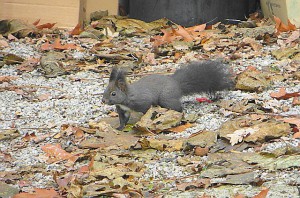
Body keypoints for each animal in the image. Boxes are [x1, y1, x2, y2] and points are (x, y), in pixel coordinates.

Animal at [102, 61, 233, 131]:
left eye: (113, 93)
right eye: (105, 90)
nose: (103, 100)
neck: (126, 98)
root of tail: (176, 84)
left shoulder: (142, 102)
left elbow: (145, 113)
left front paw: (143, 123)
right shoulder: (122, 110)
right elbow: (123, 120)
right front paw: (120, 127)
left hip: (166, 99)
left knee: (178, 107)